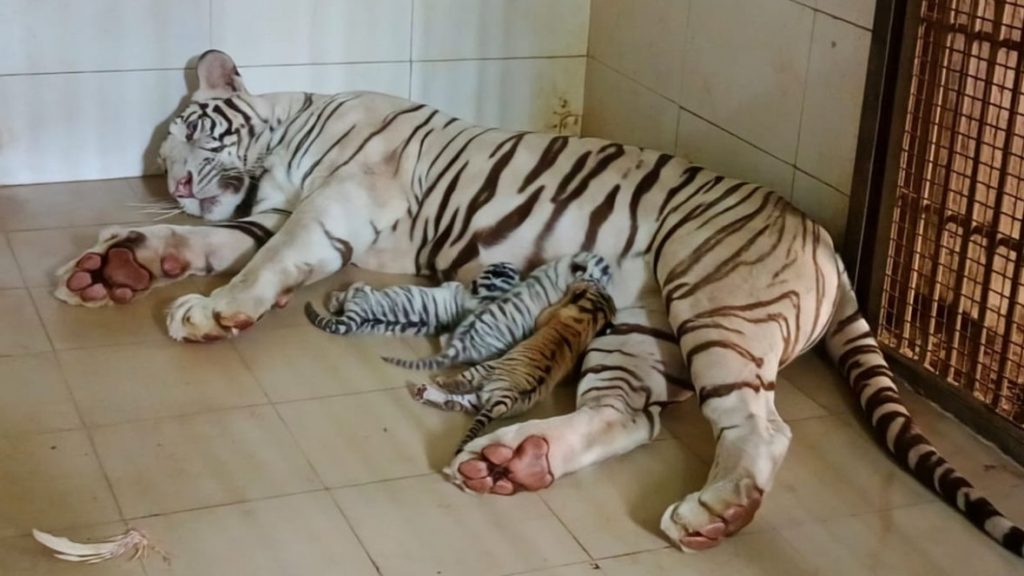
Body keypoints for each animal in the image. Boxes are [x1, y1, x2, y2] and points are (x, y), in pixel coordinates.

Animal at [54, 51, 1024, 553]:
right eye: (167, 152)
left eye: (195, 129)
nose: (179, 181)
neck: (287, 136)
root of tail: (829, 242)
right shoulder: (272, 212)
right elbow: (214, 245)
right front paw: (120, 266)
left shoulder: (332, 208)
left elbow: (260, 264)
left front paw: (209, 308)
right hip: (636, 328)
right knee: (631, 417)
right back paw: (515, 459)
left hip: (716, 309)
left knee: (760, 427)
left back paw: (716, 511)